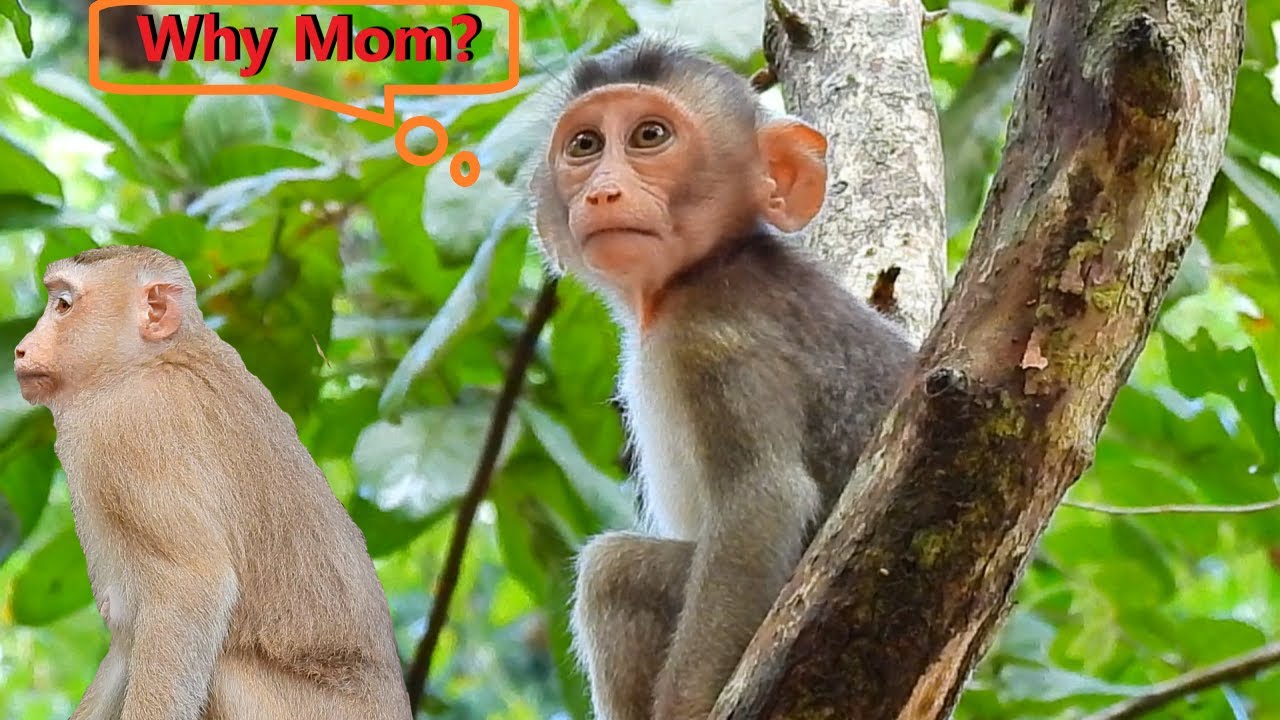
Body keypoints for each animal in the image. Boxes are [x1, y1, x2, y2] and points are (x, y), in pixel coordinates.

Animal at [12, 246, 412, 720]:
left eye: (63, 305)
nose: (20, 349)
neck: (153, 359)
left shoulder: (132, 429)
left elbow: (193, 589)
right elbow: (128, 644)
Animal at [527, 37, 917, 720]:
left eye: (649, 136)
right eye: (585, 145)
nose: (601, 192)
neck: (702, 269)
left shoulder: (714, 342)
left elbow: (761, 504)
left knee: (612, 570)